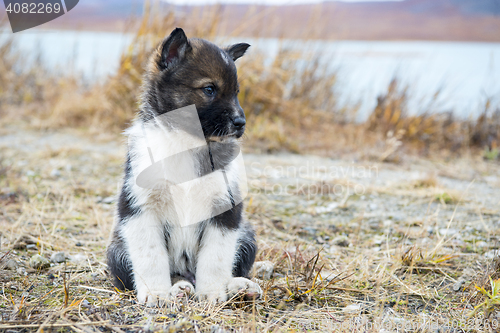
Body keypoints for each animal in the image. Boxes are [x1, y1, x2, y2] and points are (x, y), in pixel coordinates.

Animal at [106, 27, 262, 304]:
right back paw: (179, 288)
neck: (186, 142)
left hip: (247, 236)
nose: (240, 123)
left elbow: (215, 257)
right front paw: (156, 294)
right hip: (116, 251)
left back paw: (239, 287)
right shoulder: (139, 209)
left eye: (236, 92)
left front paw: (212, 292)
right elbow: (150, 257)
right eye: (209, 89)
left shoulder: (225, 210)